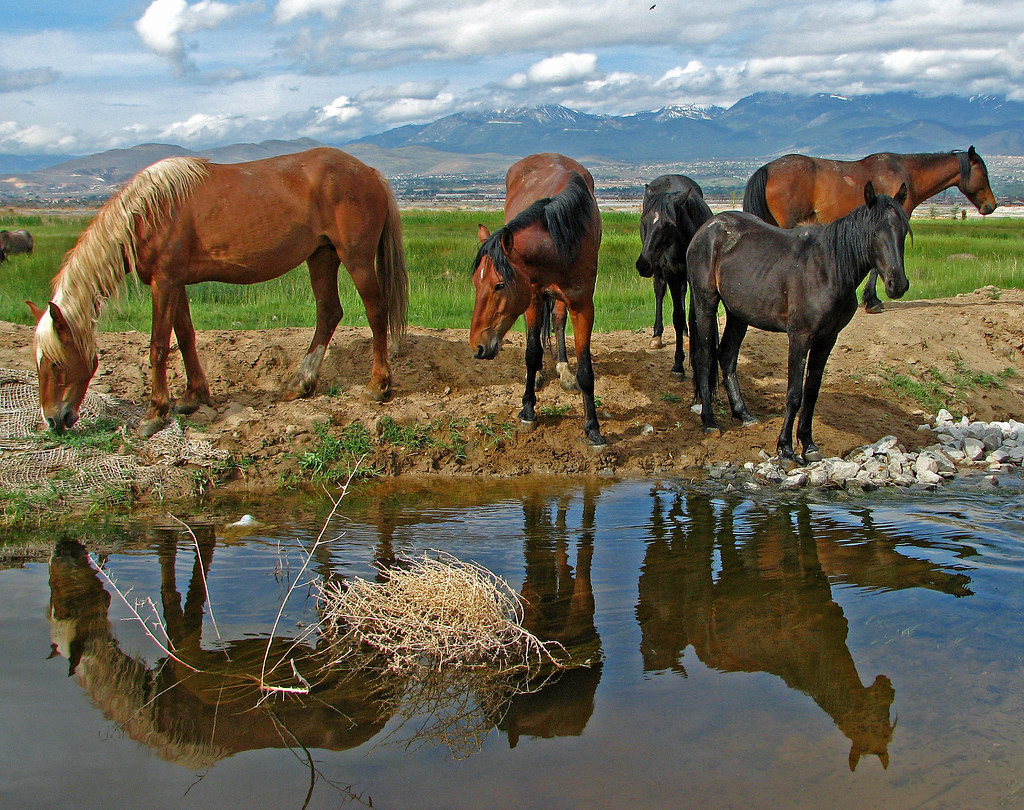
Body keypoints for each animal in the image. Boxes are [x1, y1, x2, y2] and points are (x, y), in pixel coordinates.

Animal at [28, 147, 408, 437]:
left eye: (55, 363)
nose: (54, 419)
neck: (148, 212)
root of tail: (370, 172)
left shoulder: (164, 281)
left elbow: (158, 346)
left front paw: (155, 413)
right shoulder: (175, 283)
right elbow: (185, 337)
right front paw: (193, 396)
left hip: (355, 257)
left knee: (375, 311)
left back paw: (377, 386)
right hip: (321, 255)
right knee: (329, 313)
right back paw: (300, 384)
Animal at [470, 153, 605, 446]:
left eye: (499, 285)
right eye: (476, 283)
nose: (477, 346)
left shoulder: (582, 305)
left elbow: (586, 369)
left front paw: (593, 428)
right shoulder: (532, 298)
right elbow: (532, 353)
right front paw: (528, 410)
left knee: (558, 319)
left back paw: (563, 370)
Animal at [634, 174, 713, 378]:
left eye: (668, 224)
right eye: (644, 220)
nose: (642, 264)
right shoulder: (671, 273)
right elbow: (677, 316)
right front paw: (678, 364)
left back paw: (685, 333)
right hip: (660, 270)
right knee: (659, 291)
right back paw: (657, 335)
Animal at [688, 181, 911, 462]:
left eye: (903, 231)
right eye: (874, 233)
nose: (897, 284)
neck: (829, 269)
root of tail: (708, 227)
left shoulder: (827, 339)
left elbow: (812, 392)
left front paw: (809, 444)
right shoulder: (800, 336)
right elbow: (794, 393)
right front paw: (785, 448)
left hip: (739, 313)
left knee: (726, 356)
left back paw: (744, 415)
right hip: (705, 302)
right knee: (705, 358)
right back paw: (709, 421)